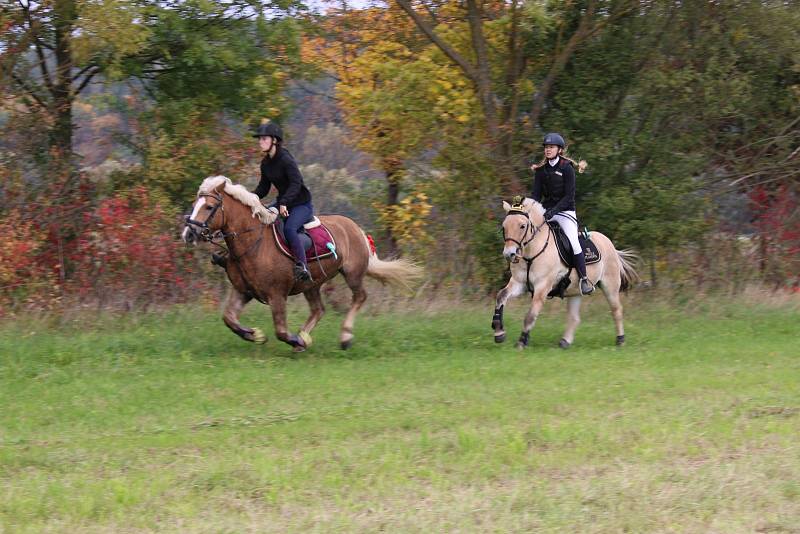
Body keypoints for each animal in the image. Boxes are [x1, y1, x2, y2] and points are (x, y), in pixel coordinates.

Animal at [181, 175, 418, 352]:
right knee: (318, 309)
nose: (188, 234)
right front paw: (256, 335)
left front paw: (294, 339)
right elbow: (229, 319)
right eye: (195, 205)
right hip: (311, 283)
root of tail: (355, 228)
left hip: (352, 273)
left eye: (209, 206)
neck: (253, 242)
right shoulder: (243, 291)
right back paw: (305, 337)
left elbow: (281, 331)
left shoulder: (277, 294)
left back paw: (343, 336)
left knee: (359, 297)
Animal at [490, 199, 640, 350]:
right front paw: (499, 332)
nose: (509, 254)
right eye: (504, 226)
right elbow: (501, 296)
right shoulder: (519, 283)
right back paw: (565, 342)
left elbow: (530, 315)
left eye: (522, 226)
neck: (531, 252)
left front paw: (521, 342)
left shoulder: (542, 286)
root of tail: (610, 244)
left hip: (610, 285)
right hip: (575, 291)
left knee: (616, 310)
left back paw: (620, 340)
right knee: (574, 317)